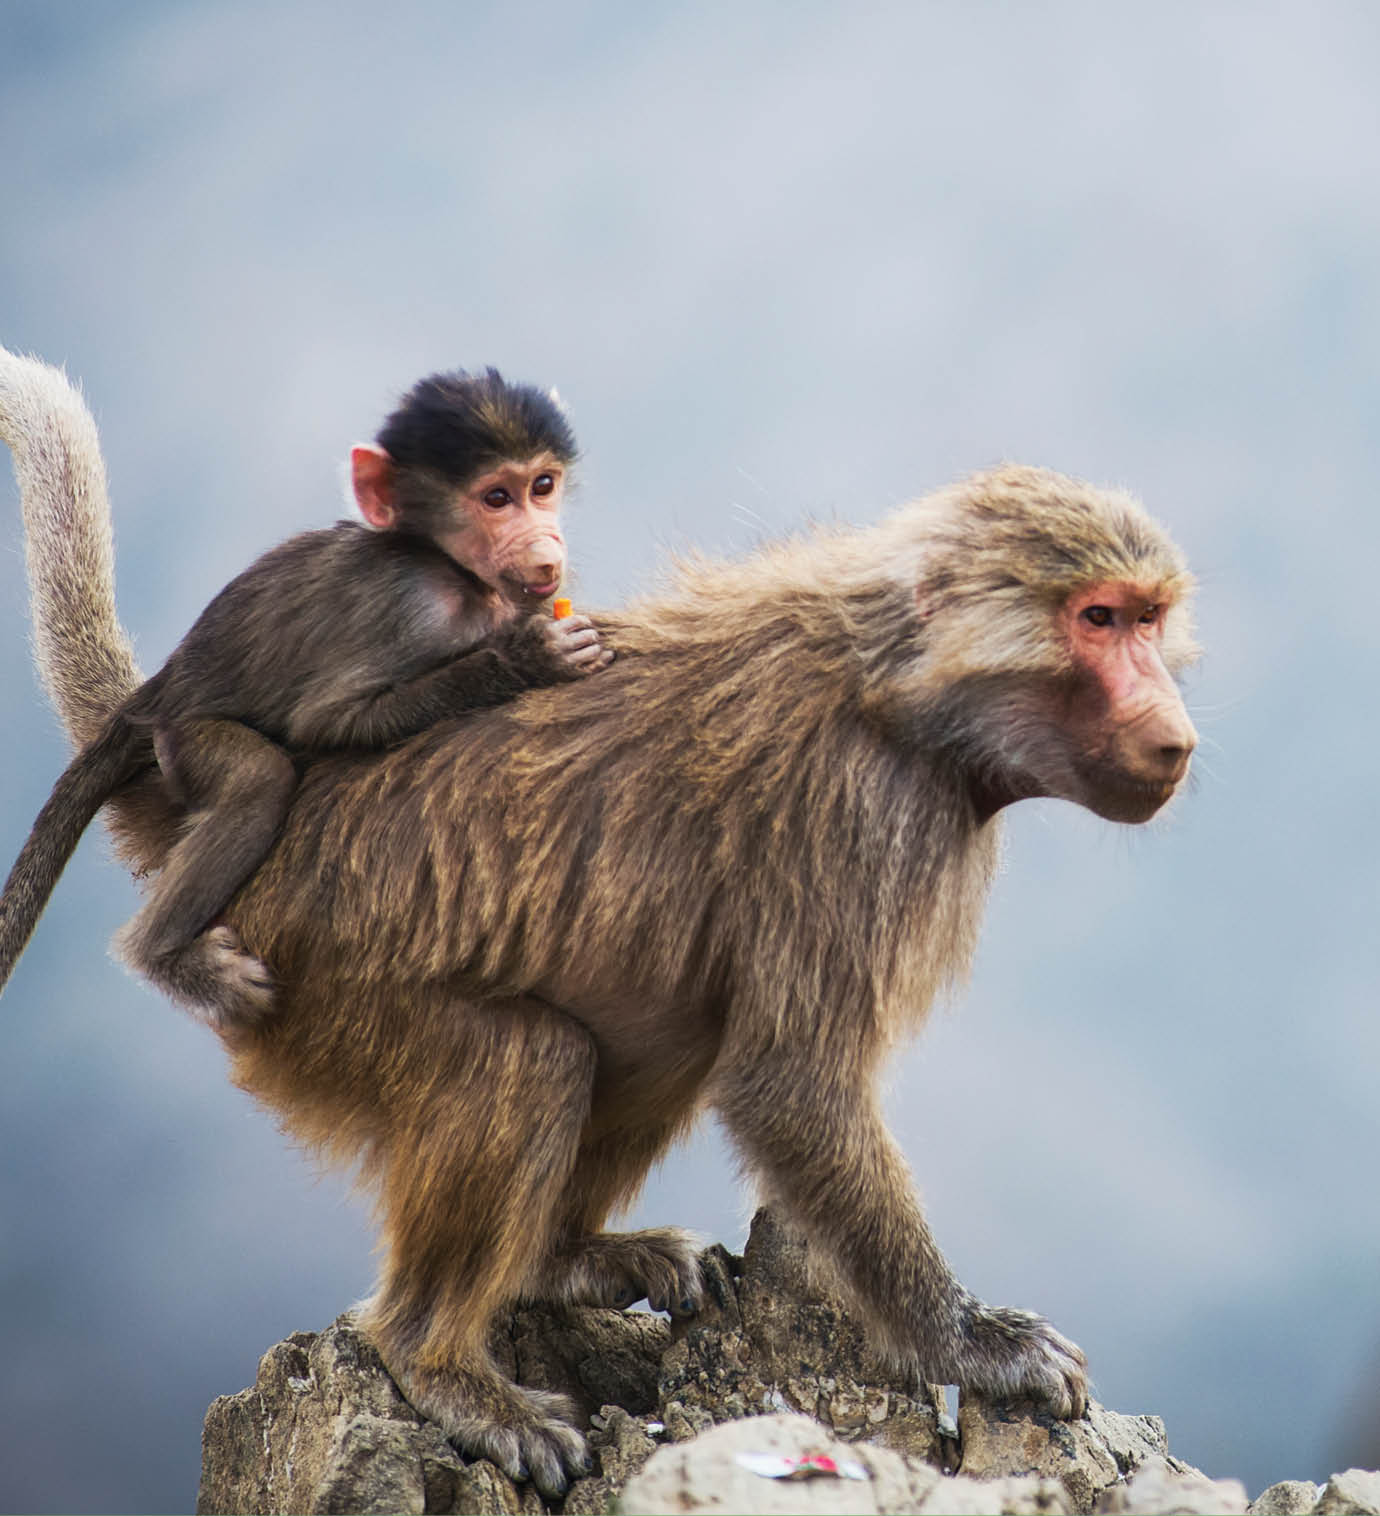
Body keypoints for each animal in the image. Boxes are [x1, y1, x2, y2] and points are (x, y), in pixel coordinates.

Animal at [0, 362, 613, 1030]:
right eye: (497, 498)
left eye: (542, 485)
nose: (545, 543)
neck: (456, 573)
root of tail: (158, 693)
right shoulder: (408, 607)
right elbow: (329, 722)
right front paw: (527, 658)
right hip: (183, 741)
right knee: (258, 779)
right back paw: (163, 955)